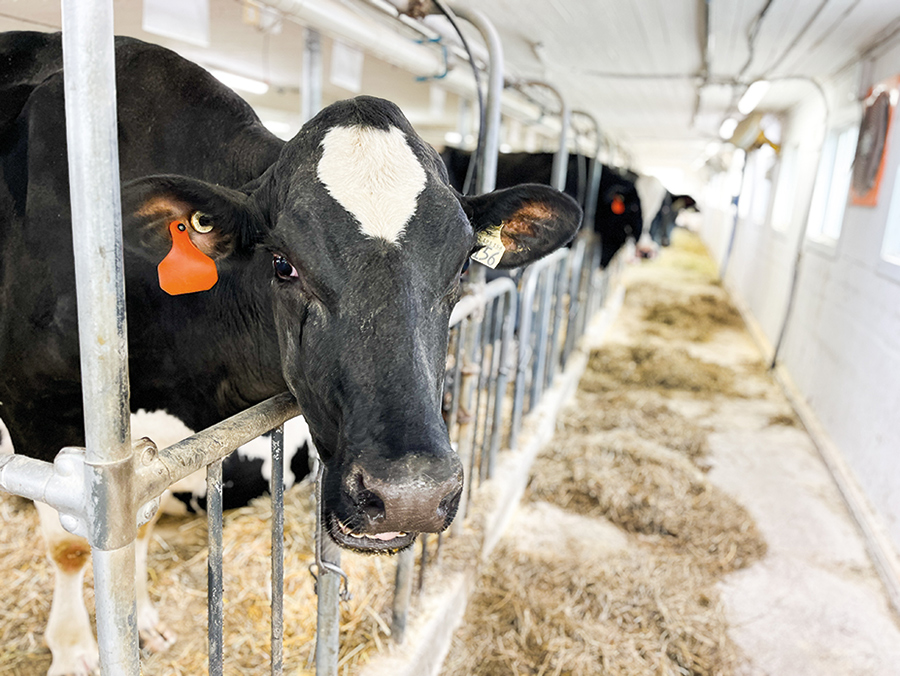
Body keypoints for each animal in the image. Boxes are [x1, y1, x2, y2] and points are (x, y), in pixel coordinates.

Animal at [0, 31, 581, 675]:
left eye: (460, 268)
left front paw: (142, 620)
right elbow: (74, 544)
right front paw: (76, 650)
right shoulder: (41, 411)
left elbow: (139, 529)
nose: (411, 495)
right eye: (283, 264)